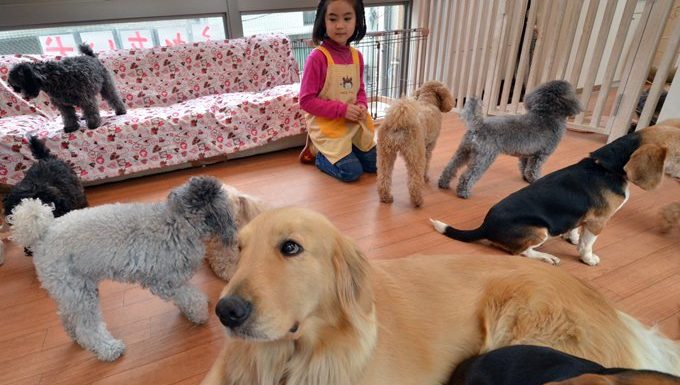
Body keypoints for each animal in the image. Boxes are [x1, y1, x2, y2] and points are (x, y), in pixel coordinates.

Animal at [5, 176, 236, 360]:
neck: (179, 220)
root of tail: (43, 233)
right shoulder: (164, 281)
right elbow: (190, 296)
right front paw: (199, 313)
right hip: (80, 290)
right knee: (88, 328)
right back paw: (108, 349)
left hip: (68, 288)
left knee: (66, 315)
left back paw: (75, 336)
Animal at [438, 79, 580, 196]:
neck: (546, 114)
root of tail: (479, 125)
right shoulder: (540, 155)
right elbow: (533, 170)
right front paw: (536, 180)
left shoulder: (526, 154)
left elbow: (524, 168)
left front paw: (525, 179)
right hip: (484, 158)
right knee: (468, 176)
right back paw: (463, 192)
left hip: (464, 151)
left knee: (450, 167)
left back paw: (443, 183)